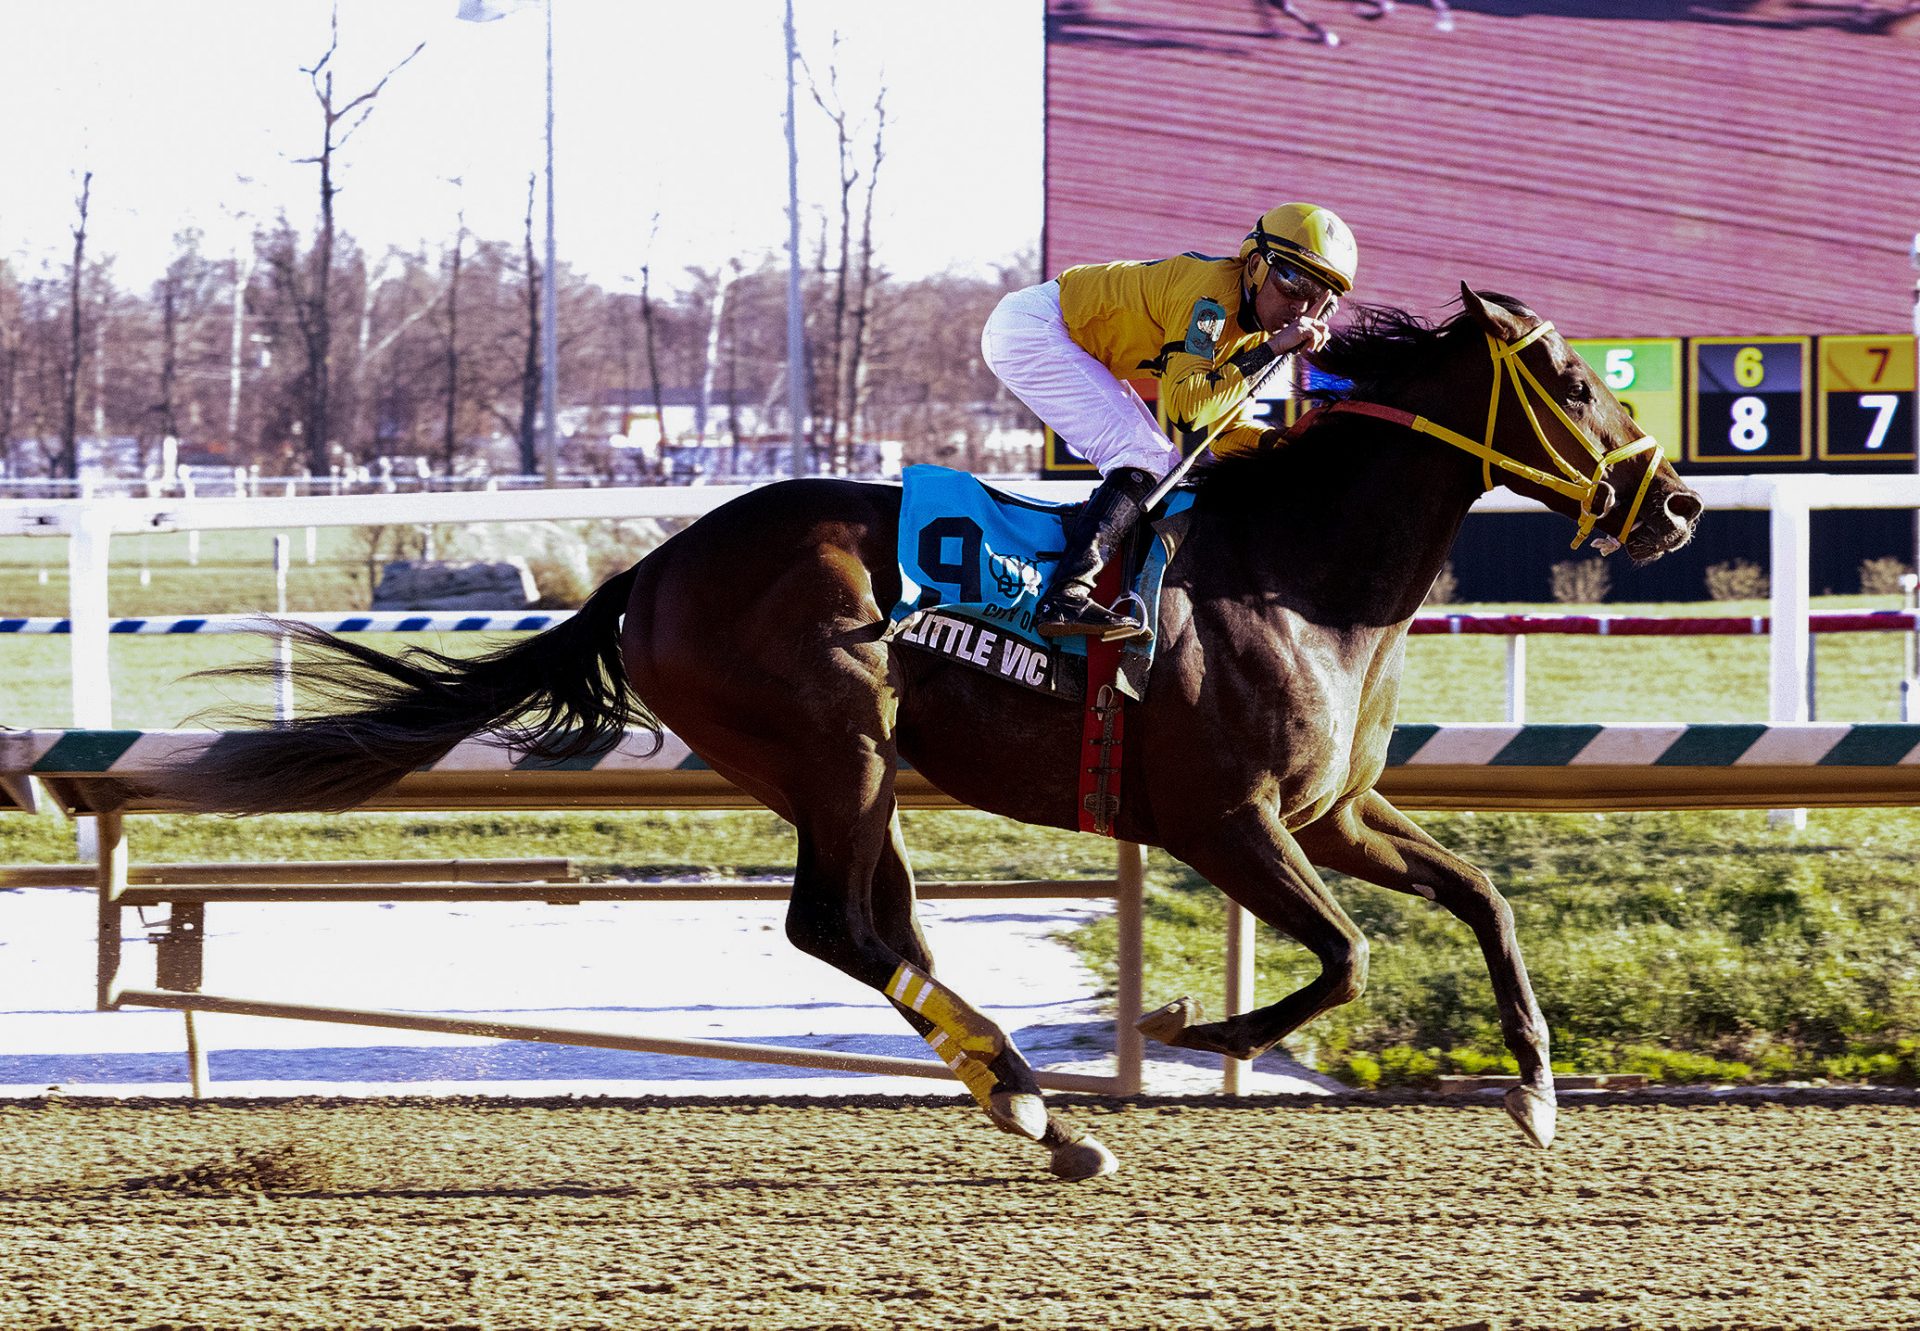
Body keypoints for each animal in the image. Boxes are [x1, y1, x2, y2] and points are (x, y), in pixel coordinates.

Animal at [165, 286, 1697, 1175]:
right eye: (1570, 380)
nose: (1675, 504)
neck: (1295, 573)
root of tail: (650, 568)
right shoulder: (1229, 820)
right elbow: (1349, 957)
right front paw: (1190, 1020)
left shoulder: (1337, 809)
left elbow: (1484, 896)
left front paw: (1537, 1093)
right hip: (835, 745)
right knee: (835, 926)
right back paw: (1033, 1101)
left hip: (856, 773)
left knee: (872, 926)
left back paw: (1041, 1111)